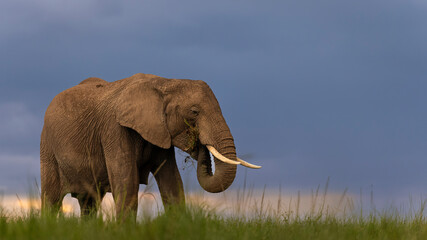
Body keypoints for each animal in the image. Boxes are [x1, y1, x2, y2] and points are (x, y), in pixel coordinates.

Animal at [40, 73, 260, 218]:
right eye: (194, 112)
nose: (198, 145)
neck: (165, 82)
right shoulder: (115, 130)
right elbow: (127, 185)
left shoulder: (159, 133)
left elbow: (173, 184)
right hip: (47, 146)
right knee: (51, 198)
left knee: (89, 202)